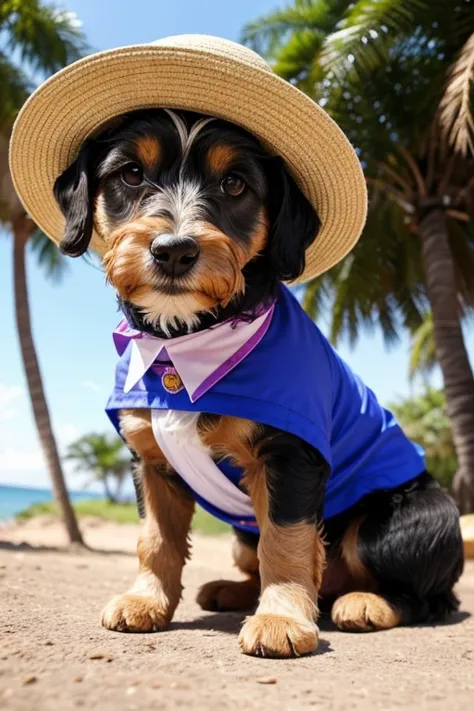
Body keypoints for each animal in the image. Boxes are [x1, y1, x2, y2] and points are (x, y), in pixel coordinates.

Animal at [52, 108, 462, 660]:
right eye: (132, 174)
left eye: (234, 183)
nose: (174, 251)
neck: (184, 343)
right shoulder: (151, 460)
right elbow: (155, 539)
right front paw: (147, 601)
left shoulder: (290, 455)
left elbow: (286, 540)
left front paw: (281, 619)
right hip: (239, 536)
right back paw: (234, 591)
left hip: (408, 520)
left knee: (428, 595)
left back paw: (365, 602)